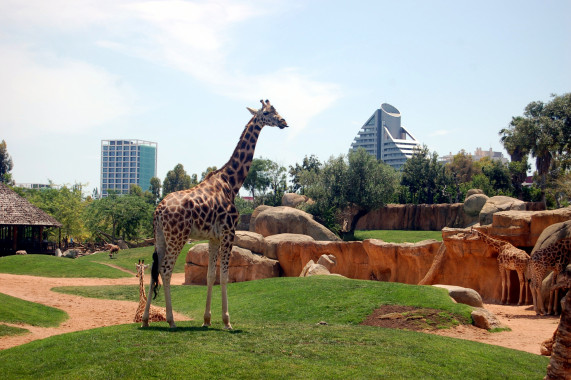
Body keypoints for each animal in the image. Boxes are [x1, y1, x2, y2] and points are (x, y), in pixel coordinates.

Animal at [141, 99, 288, 328]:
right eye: (267, 113)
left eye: (276, 110)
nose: (283, 121)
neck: (231, 182)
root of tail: (158, 210)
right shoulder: (229, 232)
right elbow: (224, 275)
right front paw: (227, 321)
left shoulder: (213, 237)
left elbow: (211, 275)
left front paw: (207, 320)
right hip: (177, 237)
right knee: (165, 269)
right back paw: (171, 321)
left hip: (160, 238)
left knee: (153, 270)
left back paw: (146, 319)